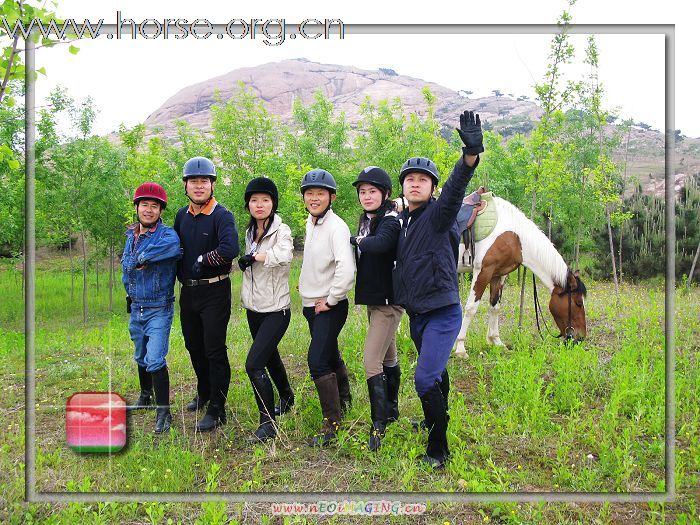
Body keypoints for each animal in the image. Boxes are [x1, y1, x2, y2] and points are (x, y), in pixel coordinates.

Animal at [454, 196, 584, 356]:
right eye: (578, 303)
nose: (580, 338)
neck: (516, 237)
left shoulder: (499, 274)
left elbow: (495, 306)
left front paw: (496, 341)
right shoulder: (483, 271)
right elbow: (471, 308)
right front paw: (460, 348)